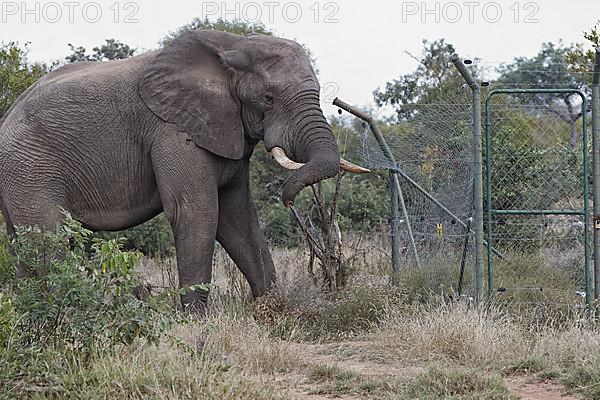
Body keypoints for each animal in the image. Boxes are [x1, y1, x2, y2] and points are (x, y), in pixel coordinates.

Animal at [0, 30, 366, 306]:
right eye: (268, 99)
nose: (288, 200)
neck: (232, 46)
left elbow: (238, 216)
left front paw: (272, 307)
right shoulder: (171, 130)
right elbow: (197, 210)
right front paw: (195, 322)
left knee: (22, 247)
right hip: (29, 167)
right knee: (47, 240)